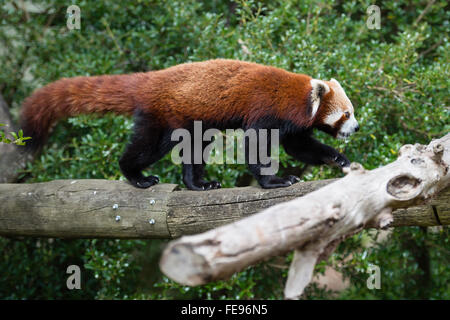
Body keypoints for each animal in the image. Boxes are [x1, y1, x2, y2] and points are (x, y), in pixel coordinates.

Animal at [20, 59, 358, 190]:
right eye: (345, 114)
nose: (355, 129)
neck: (298, 96)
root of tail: (151, 80)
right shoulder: (267, 112)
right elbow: (255, 146)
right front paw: (274, 180)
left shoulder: (294, 125)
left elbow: (301, 147)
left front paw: (339, 159)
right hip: (164, 118)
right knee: (148, 147)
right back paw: (136, 175)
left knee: (196, 149)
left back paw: (197, 184)